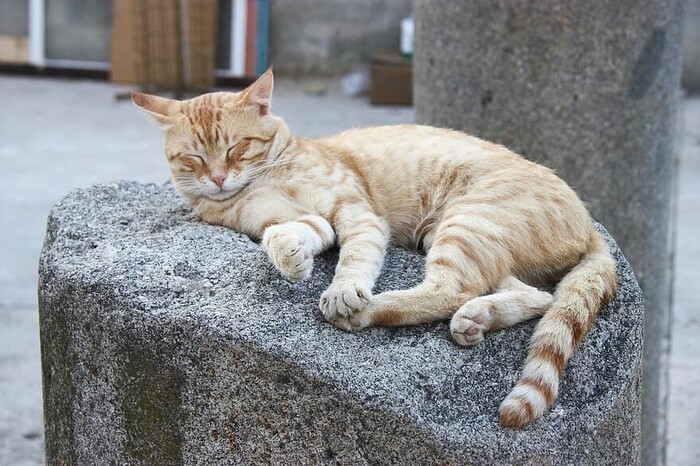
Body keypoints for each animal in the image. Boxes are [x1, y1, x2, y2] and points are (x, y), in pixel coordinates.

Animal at [132, 69, 617, 428]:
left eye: (237, 147)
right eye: (193, 158)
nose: (217, 179)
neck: (262, 181)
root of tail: (589, 221)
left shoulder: (355, 211)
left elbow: (355, 259)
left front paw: (344, 290)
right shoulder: (299, 221)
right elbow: (284, 234)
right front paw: (292, 257)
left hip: (466, 223)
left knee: (449, 291)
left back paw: (366, 310)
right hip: (474, 242)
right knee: (536, 296)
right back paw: (477, 318)